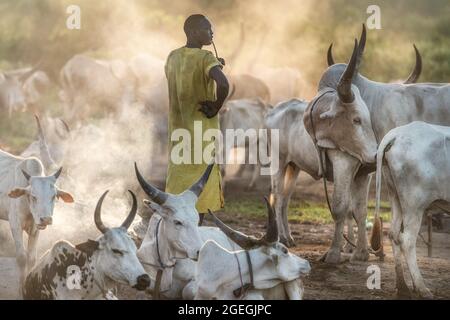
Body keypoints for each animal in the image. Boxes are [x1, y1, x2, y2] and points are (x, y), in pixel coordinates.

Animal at [372, 121, 450, 298]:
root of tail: (396, 133)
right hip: (415, 204)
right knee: (406, 240)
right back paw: (422, 288)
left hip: (395, 197)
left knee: (393, 234)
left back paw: (403, 287)